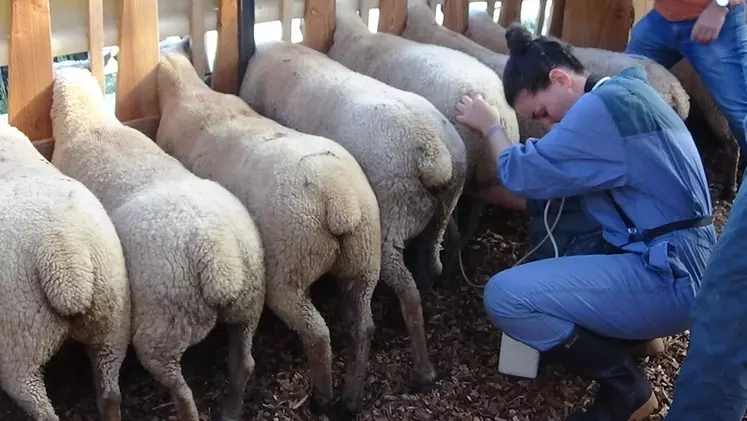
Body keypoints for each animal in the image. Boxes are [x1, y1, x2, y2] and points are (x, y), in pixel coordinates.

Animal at [49, 66, 268, 420]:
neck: (90, 124)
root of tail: (220, 263)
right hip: (248, 304)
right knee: (244, 363)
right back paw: (231, 410)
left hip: (162, 329)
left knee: (182, 389)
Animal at [156, 49, 382, 416]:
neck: (189, 92)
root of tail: (340, 201)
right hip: (364, 258)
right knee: (363, 327)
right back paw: (350, 398)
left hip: (288, 271)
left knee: (318, 334)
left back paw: (323, 398)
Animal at [237, 37, 468, 392]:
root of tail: (434, 153)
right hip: (442, 208)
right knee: (433, 261)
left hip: (390, 220)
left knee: (408, 291)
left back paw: (421, 369)